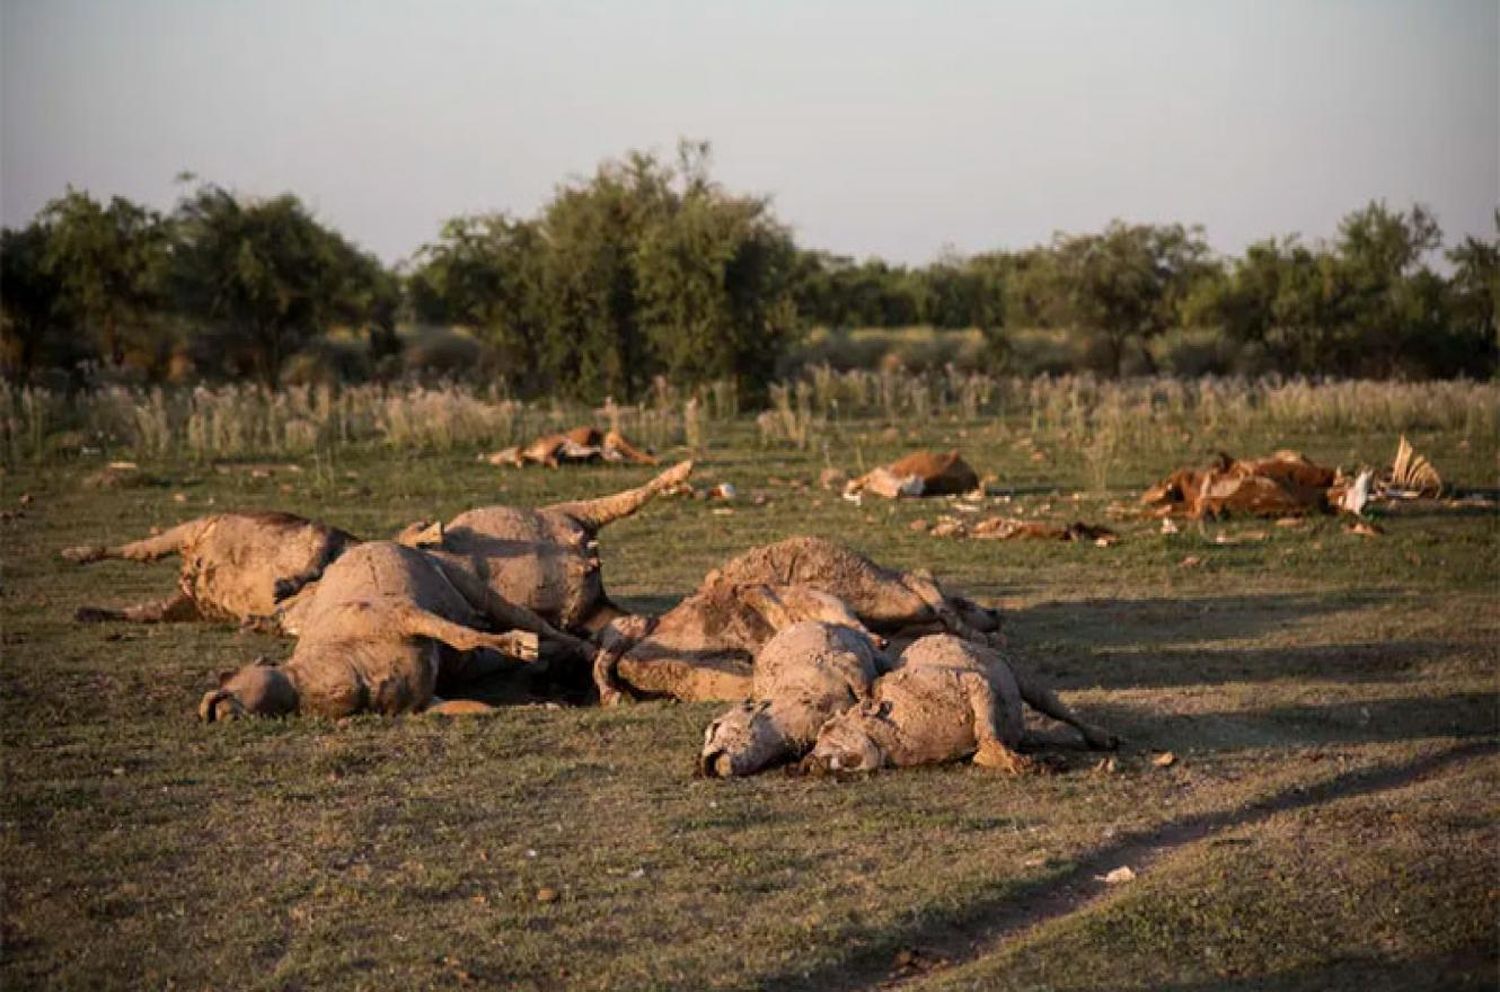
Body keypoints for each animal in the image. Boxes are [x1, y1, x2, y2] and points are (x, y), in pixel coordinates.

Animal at [63, 513, 361, 624]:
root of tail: (187, 577)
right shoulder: (327, 536)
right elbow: (315, 565)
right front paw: (281, 588)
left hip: (190, 603)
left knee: (148, 609)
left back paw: (88, 611)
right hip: (191, 528)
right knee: (139, 549)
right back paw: (74, 555)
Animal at [202, 540, 546, 720]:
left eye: (230, 683)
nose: (212, 707)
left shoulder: (406, 615)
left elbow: (462, 636)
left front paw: (521, 644)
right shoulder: (425, 704)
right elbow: (475, 707)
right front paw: (542, 706)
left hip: (477, 590)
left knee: (535, 624)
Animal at [810, 633, 1116, 774]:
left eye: (828, 730)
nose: (807, 762)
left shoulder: (974, 684)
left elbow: (987, 734)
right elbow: (987, 747)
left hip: (1018, 675)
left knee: (1054, 706)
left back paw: (1100, 737)